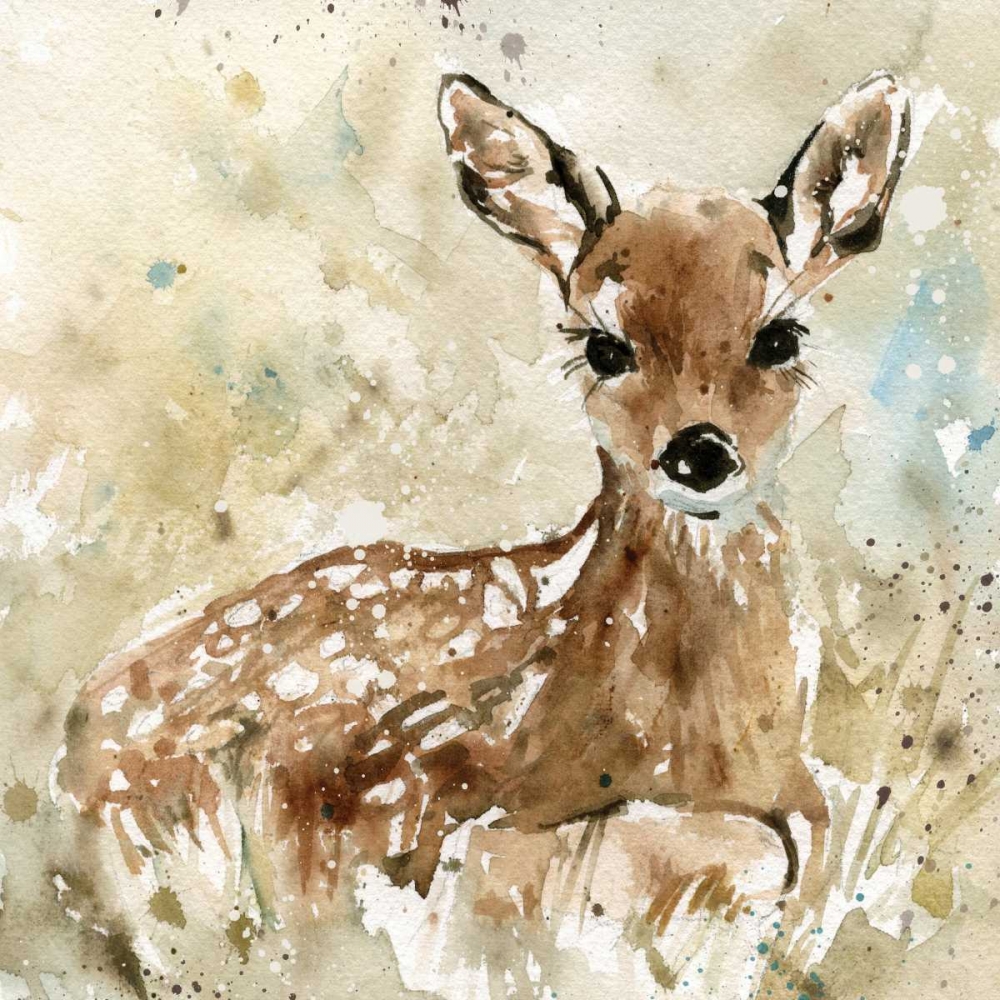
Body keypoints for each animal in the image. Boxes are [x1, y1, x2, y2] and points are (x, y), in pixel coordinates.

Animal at [52, 70, 915, 993]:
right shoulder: (411, 805)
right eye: (605, 348)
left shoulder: (799, 805)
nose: (700, 451)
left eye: (779, 336)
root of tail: (77, 728)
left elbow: (798, 852)